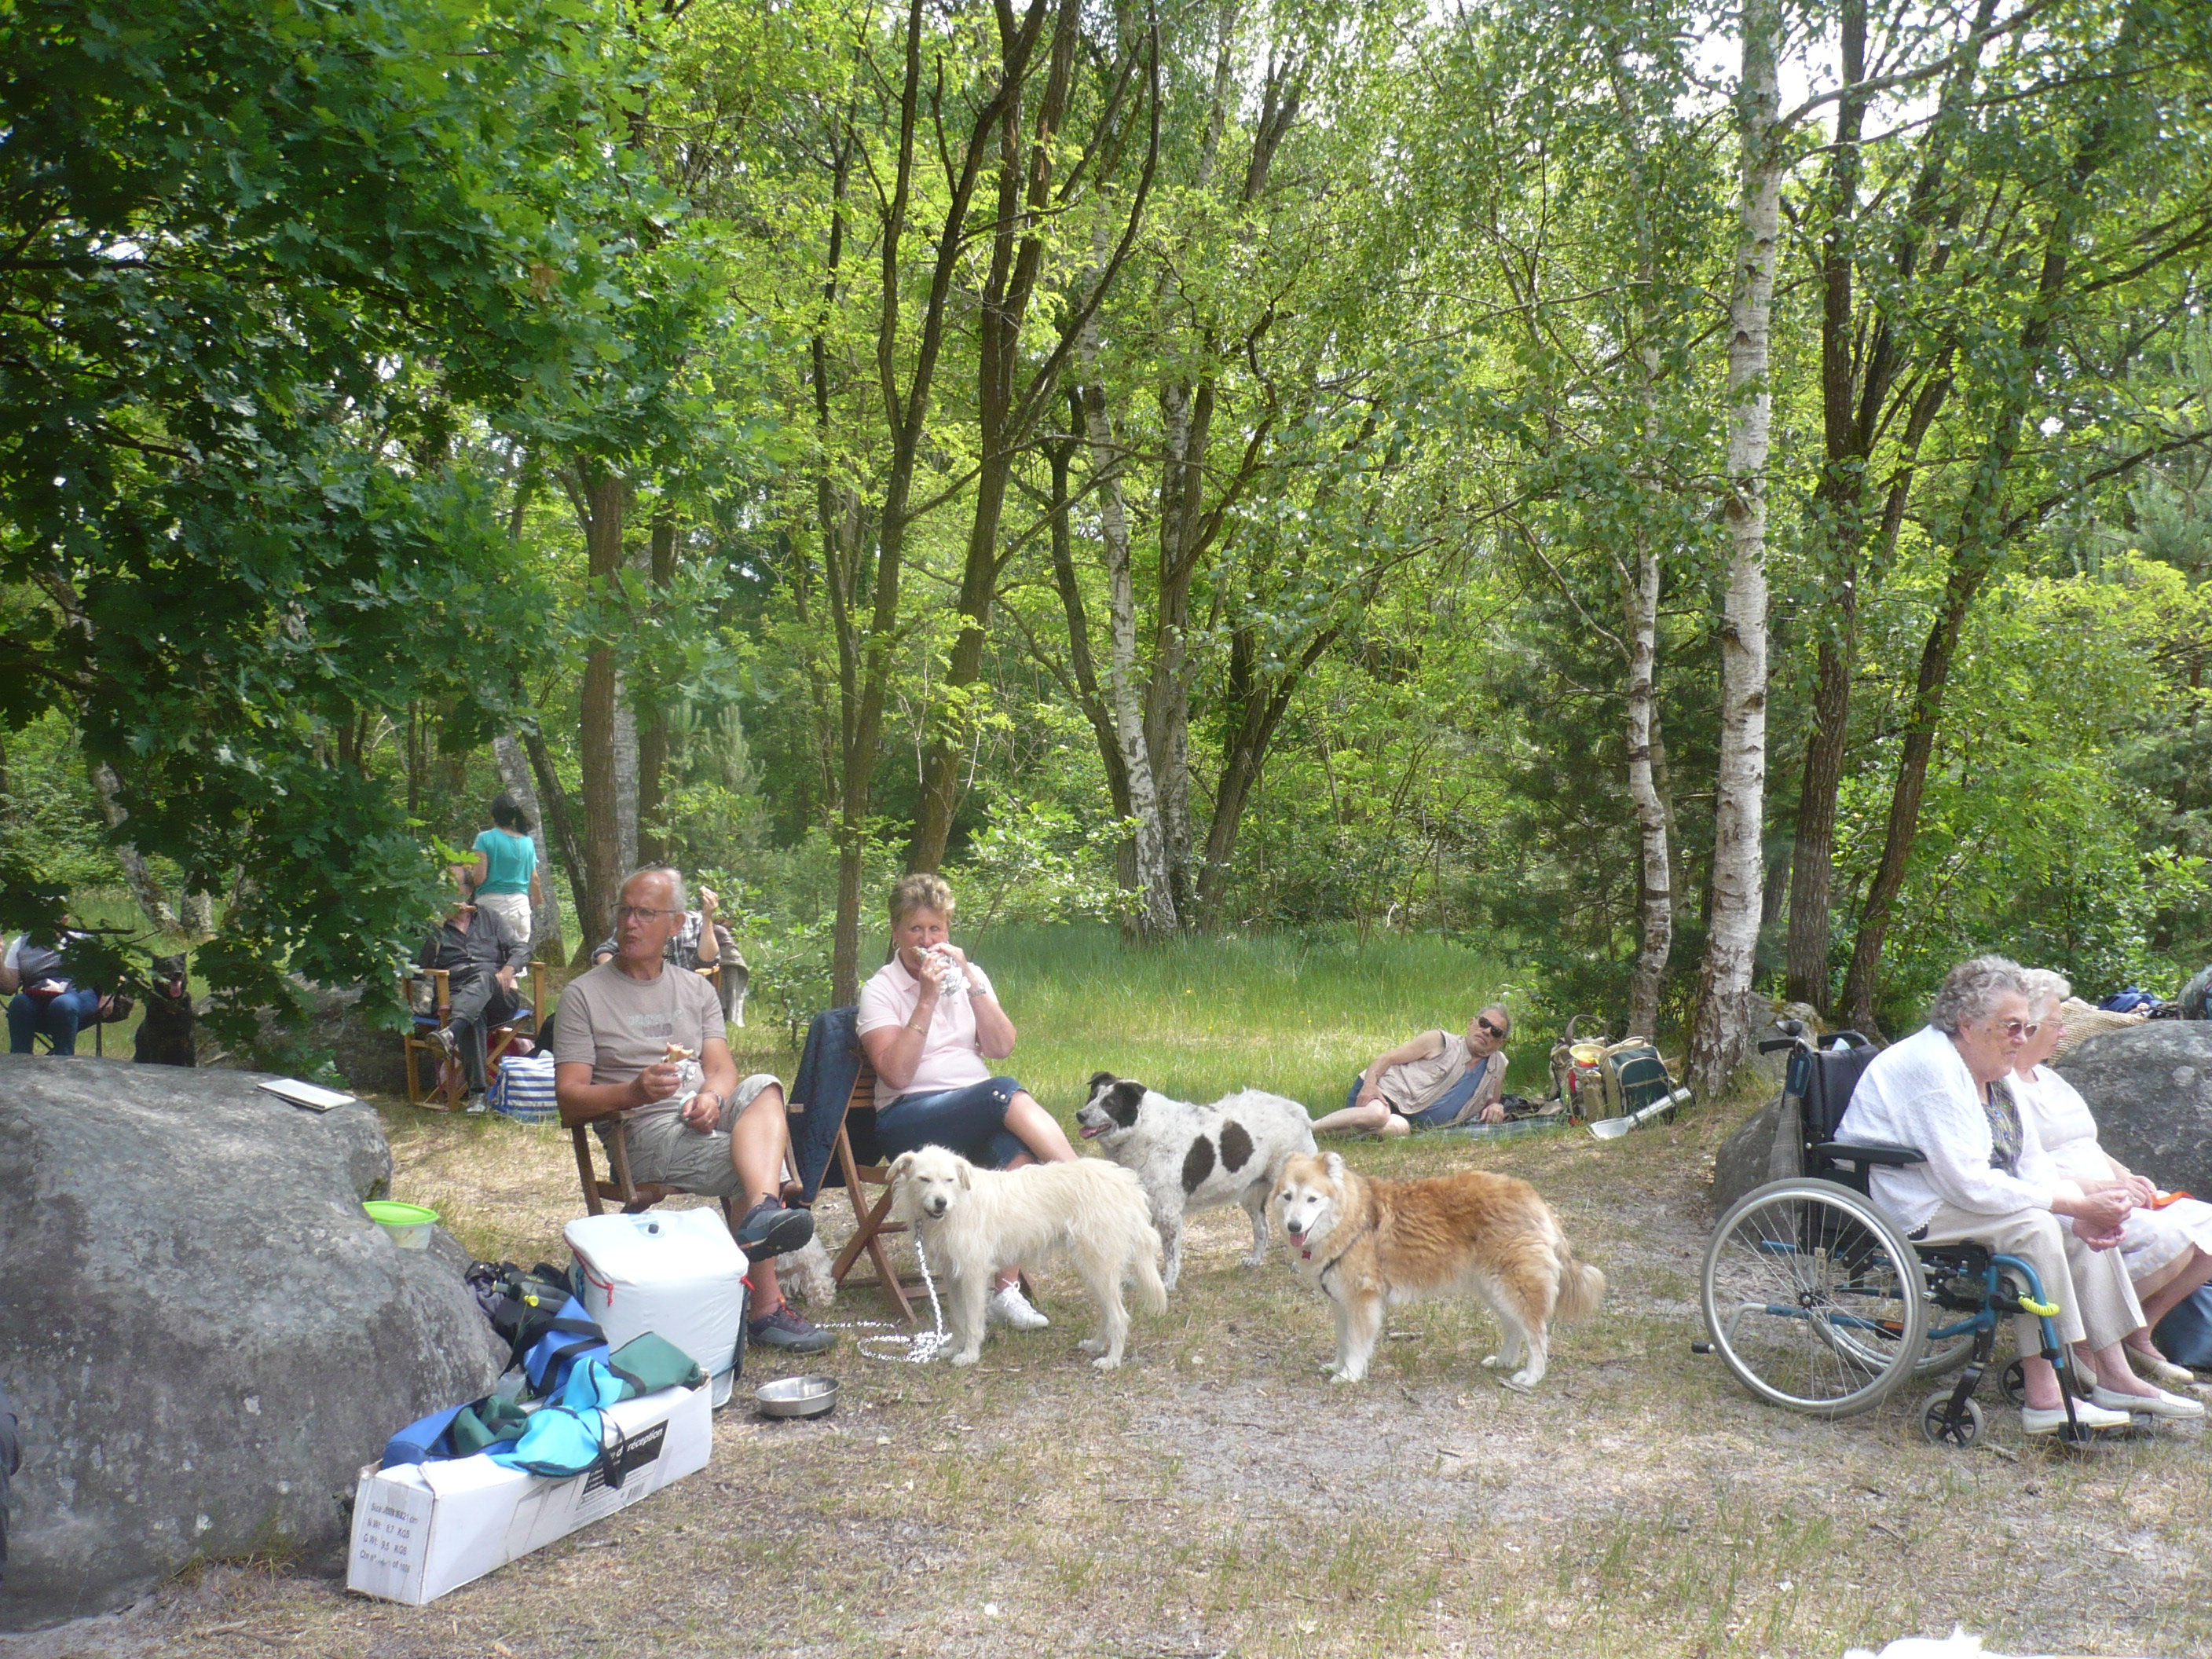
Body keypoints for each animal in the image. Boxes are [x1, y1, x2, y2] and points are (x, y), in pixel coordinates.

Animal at [133, 955, 198, 1070]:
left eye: (181, 963)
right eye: (166, 964)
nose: (178, 973)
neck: (171, 1004)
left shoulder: (188, 1041)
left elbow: (192, 1062)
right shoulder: (155, 1043)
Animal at [880, 1150, 1167, 1371]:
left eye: (949, 1180)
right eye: (924, 1179)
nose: (941, 1202)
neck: (959, 1202)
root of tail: (1125, 1182)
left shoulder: (973, 1274)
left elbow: (972, 1321)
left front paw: (970, 1355)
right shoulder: (952, 1276)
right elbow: (959, 1320)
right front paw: (953, 1348)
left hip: (1099, 1268)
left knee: (1120, 1317)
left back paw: (1111, 1360)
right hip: (1094, 1271)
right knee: (1109, 1315)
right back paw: (1096, 1345)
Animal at [1265, 1159, 1610, 1389]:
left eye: (1312, 1199)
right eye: (1287, 1196)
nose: (1294, 1226)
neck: (1352, 1218)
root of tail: (1531, 1196)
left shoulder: (1363, 1301)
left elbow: (1357, 1342)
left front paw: (1350, 1375)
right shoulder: (1340, 1303)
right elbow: (1342, 1340)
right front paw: (1338, 1365)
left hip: (1514, 1286)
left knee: (1537, 1333)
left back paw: (1532, 1375)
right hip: (1493, 1287)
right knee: (1513, 1327)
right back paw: (1504, 1360)